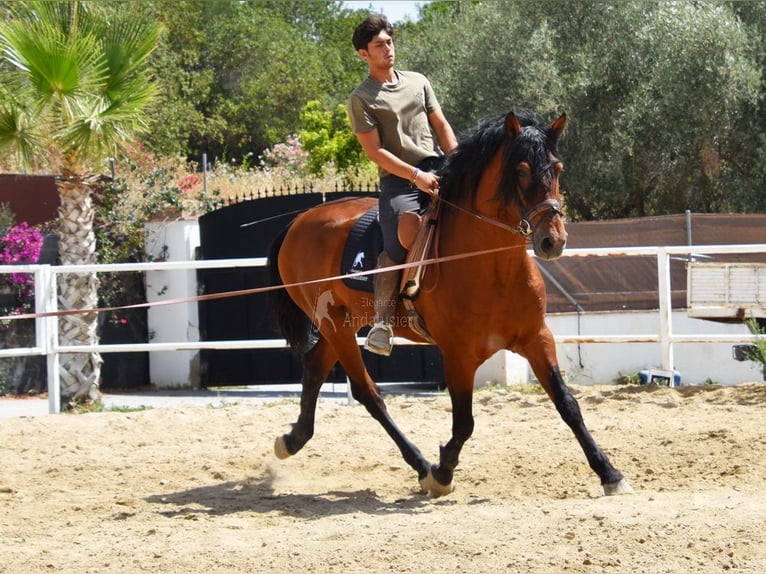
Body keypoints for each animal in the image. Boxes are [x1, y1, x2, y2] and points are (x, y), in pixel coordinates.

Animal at [270, 110, 636, 498]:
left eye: (558, 168)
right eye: (521, 171)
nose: (553, 241)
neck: (493, 268)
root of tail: (300, 221)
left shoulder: (538, 339)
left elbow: (568, 405)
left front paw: (610, 474)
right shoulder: (458, 355)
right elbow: (464, 422)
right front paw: (442, 471)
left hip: (342, 322)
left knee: (315, 367)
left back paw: (292, 440)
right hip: (335, 326)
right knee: (368, 393)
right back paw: (419, 464)